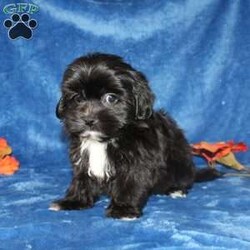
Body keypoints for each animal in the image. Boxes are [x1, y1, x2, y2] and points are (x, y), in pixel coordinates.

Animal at [49, 53, 220, 219]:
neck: (108, 138)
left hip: (180, 162)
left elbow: (130, 182)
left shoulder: (137, 161)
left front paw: (123, 209)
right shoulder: (83, 158)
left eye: (110, 98)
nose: (88, 120)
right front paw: (74, 201)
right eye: (78, 98)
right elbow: (82, 179)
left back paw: (176, 189)